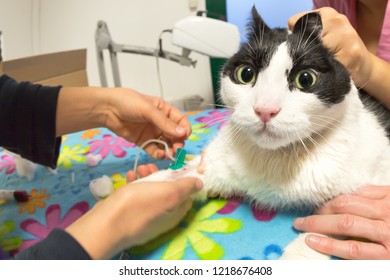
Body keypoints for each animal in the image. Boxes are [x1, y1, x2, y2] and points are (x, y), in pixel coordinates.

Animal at [134, 6, 390, 260]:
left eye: (305, 78)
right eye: (246, 74)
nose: (265, 110)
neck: (275, 158)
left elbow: (334, 220)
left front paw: (302, 251)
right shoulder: (218, 163)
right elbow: (180, 177)